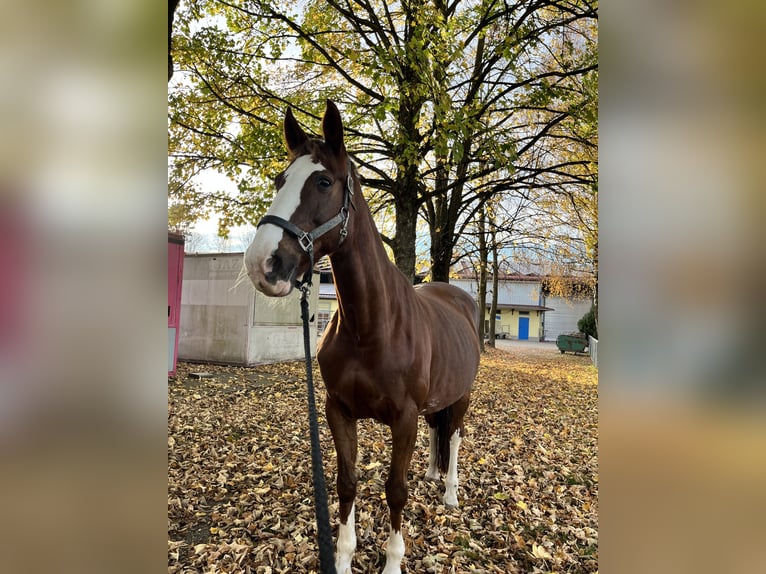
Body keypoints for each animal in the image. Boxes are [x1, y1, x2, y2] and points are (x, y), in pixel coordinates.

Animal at [244, 100, 480, 574]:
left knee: (455, 436)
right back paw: (432, 473)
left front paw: (392, 562)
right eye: (280, 180)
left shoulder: (404, 419)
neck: (371, 327)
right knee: (439, 429)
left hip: (461, 395)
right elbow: (347, 482)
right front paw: (343, 557)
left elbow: (395, 489)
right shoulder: (339, 410)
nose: (262, 263)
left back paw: (449, 491)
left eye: (323, 182)